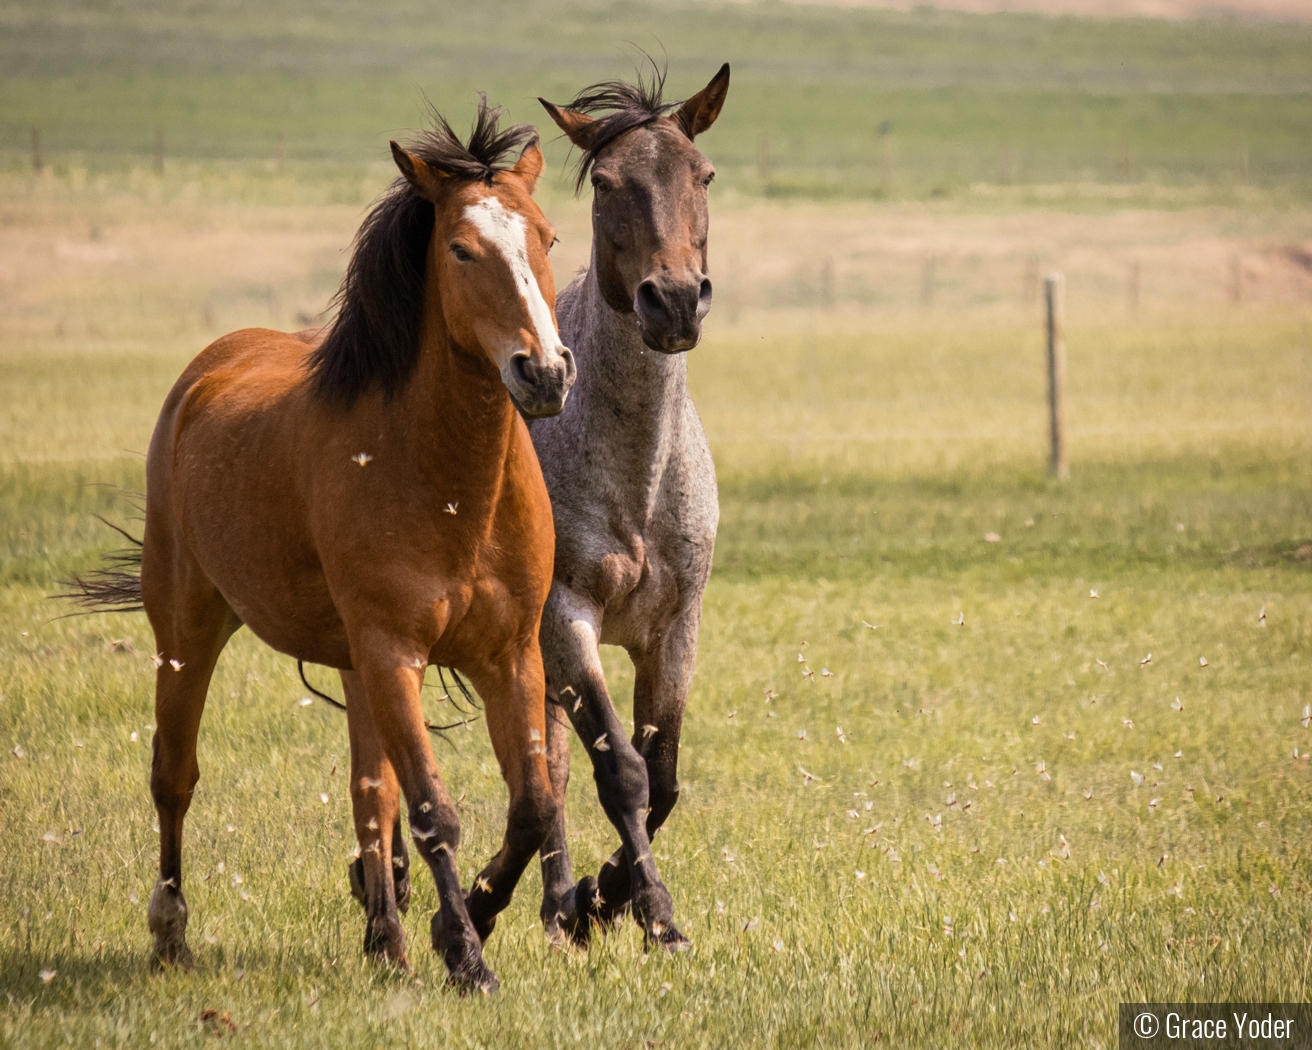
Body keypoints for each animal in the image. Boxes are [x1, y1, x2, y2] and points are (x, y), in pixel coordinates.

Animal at [65, 100, 569, 992]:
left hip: (351, 665)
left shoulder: (509, 654)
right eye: (461, 249)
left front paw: (464, 919)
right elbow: (435, 811)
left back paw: (385, 936)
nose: (543, 372)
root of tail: (205, 373)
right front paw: (465, 954)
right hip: (188, 631)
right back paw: (171, 935)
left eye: (547, 237)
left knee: (370, 792)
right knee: (174, 778)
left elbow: (530, 806)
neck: (445, 480)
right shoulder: (393, 651)